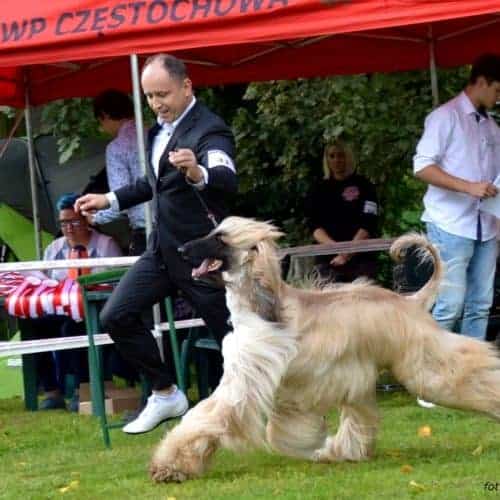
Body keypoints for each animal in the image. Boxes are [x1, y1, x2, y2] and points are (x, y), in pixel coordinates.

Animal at [150, 216, 500, 482]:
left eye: (220, 238)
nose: (180, 249)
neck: (257, 306)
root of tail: (412, 301)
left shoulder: (247, 380)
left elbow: (209, 416)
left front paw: (169, 466)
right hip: (363, 374)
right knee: (361, 417)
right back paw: (340, 451)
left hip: (424, 366)